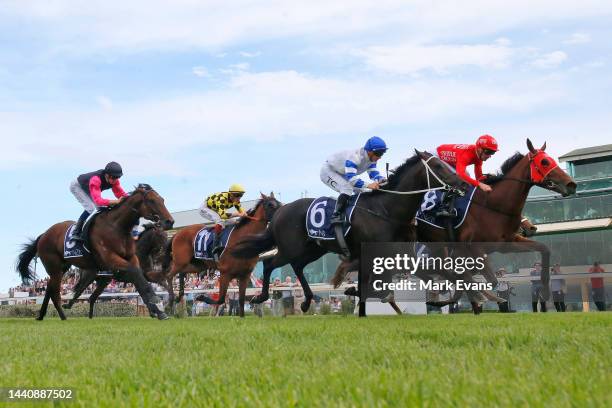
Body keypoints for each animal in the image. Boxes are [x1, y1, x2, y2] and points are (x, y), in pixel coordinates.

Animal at [16, 185, 175, 322]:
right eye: (151, 200)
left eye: (162, 200)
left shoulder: (132, 261)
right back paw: (64, 314)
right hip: (58, 267)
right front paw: (157, 306)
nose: (170, 221)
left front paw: (160, 309)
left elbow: (147, 282)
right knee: (59, 292)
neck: (117, 228)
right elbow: (139, 277)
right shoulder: (113, 261)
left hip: (66, 268)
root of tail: (44, 234)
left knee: (55, 289)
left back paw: (43, 315)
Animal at [232, 151, 470, 318]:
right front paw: (353, 292)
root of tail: (280, 211)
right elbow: (375, 286)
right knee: (270, 263)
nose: (463, 184)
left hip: (312, 250)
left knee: (297, 267)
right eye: (438, 166)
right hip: (292, 249)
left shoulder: (398, 254)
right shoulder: (372, 255)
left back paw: (307, 300)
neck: (386, 210)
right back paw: (261, 297)